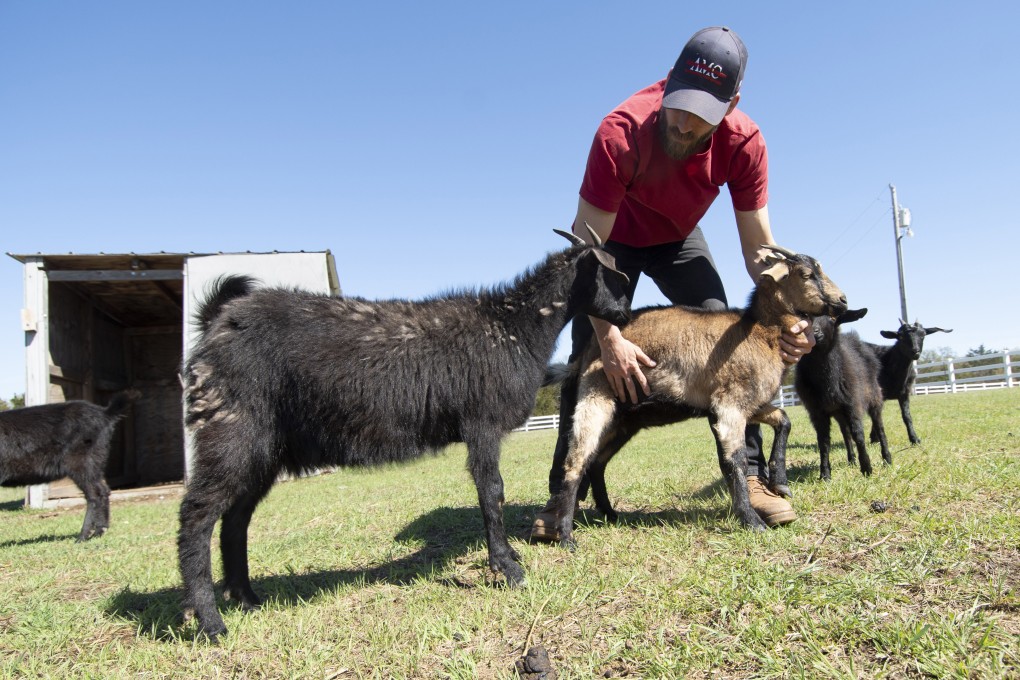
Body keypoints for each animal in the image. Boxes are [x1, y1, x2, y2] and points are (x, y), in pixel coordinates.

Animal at [0, 390, 137, 541]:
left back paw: (83, 536)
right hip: (94, 464)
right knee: (103, 491)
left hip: (82, 463)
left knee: (95, 494)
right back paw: (99, 531)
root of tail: (105, 413)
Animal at [177, 229, 632, 639]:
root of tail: (217, 321)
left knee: (235, 519)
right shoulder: (481, 422)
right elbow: (492, 491)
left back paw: (246, 599)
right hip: (230, 427)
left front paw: (509, 557)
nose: (625, 317)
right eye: (614, 276)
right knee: (197, 515)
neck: (513, 327)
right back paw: (210, 622)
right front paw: (508, 568)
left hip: (263, 448)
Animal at [795, 308, 891, 481]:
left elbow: (858, 434)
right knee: (846, 433)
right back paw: (851, 460)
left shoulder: (852, 403)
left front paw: (867, 468)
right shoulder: (817, 412)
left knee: (879, 427)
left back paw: (887, 459)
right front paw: (825, 474)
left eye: (833, 318)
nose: (814, 332)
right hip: (839, 412)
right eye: (805, 316)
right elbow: (823, 441)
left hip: (874, 397)